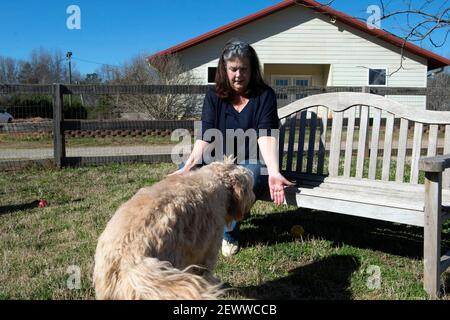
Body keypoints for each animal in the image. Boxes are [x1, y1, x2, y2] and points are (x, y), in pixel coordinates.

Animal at [93, 160, 255, 300]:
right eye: (250, 187)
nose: (253, 198)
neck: (217, 180)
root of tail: (127, 259)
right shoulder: (208, 251)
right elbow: (206, 272)